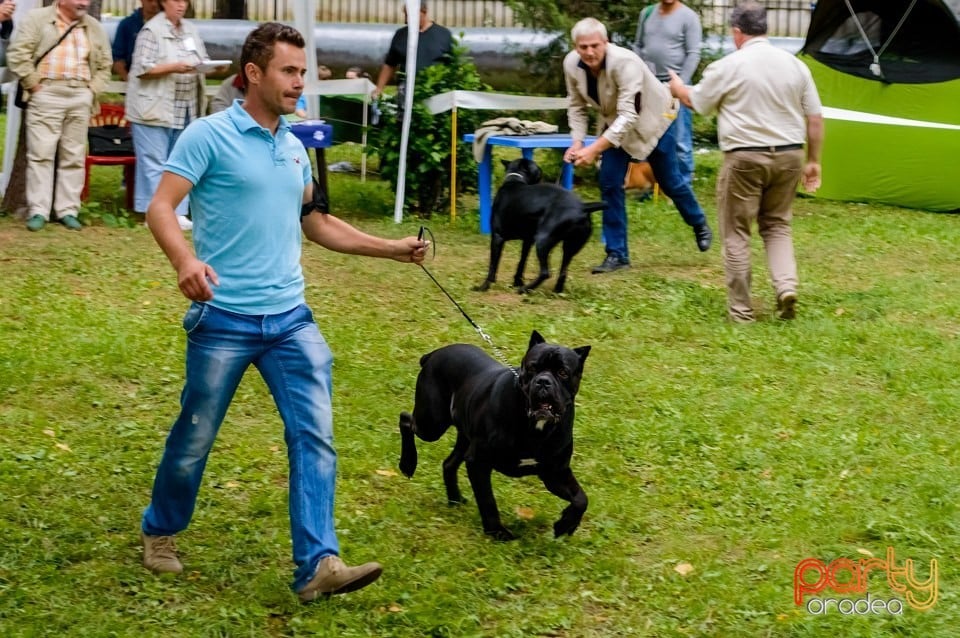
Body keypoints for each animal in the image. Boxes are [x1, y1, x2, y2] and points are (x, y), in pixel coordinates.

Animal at [396, 332, 588, 544]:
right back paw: (408, 464)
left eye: (563, 372)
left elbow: (581, 499)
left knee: (449, 463)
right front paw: (497, 531)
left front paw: (565, 525)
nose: (543, 381)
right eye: (532, 368)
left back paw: (455, 499)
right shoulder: (478, 462)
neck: (536, 426)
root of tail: (433, 354)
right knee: (406, 419)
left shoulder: (555, 473)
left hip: (463, 436)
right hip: (431, 424)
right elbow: (487, 499)